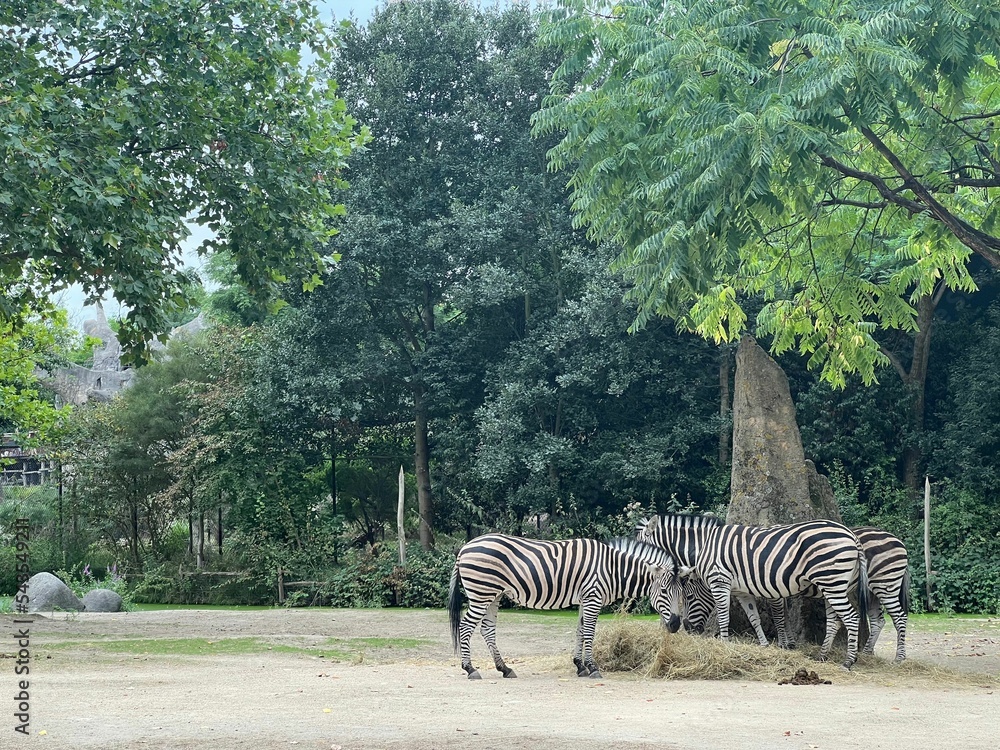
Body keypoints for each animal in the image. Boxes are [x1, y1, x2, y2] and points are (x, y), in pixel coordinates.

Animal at [448, 536, 688, 680]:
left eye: (682, 593)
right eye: (664, 591)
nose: (676, 625)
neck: (611, 569)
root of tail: (465, 548)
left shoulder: (585, 598)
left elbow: (580, 631)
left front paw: (579, 666)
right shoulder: (593, 597)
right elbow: (590, 632)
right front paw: (593, 667)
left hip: (494, 594)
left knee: (487, 629)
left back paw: (505, 668)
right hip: (481, 592)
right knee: (466, 626)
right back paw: (470, 669)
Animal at [640, 516, 868, 668]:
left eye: (687, 597)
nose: (687, 628)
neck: (704, 546)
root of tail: (851, 535)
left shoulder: (719, 581)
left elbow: (724, 617)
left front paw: (725, 647)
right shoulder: (741, 591)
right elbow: (754, 618)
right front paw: (765, 646)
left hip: (832, 582)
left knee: (851, 617)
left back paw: (849, 661)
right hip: (833, 584)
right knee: (835, 621)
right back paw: (822, 655)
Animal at [680, 528, 908, 664]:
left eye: (688, 599)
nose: (687, 628)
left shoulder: (760, 586)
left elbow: (775, 616)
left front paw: (783, 644)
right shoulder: (759, 590)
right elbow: (767, 617)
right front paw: (778, 644)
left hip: (883, 584)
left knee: (896, 617)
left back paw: (887, 658)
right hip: (859, 589)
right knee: (874, 620)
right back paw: (854, 653)